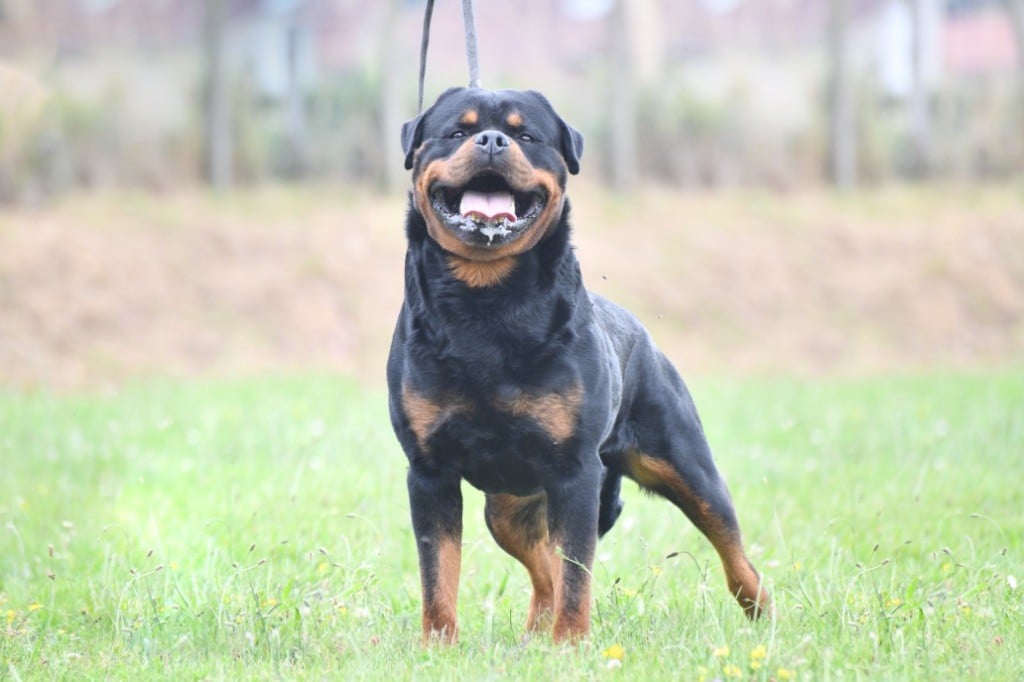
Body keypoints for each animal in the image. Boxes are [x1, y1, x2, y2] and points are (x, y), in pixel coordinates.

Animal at [387, 86, 770, 643]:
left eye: (527, 136)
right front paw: (439, 645)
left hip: (685, 463)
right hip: (508, 508)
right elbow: (438, 570)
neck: (485, 301)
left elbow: (576, 572)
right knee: (543, 565)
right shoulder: (429, 470)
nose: (492, 140)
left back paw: (763, 613)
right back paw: (533, 636)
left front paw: (570, 643)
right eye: (457, 131)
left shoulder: (575, 470)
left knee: (731, 547)